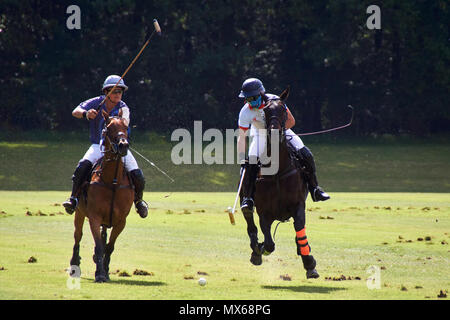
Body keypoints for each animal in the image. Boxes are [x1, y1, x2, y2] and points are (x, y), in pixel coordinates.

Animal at [69, 110, 134, 282]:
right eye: (109, 127)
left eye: (126, 126)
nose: (123, 145)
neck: (113, 181)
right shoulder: (94, 217)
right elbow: (99, 246)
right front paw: (100, 274)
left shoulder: (121, 221)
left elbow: (109, 247)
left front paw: (105, 270)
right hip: (79, 212)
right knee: (77, 236)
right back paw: (74, 264)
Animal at [243, 87, 320, 278]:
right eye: (265, 112)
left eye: (284, 110)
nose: (274, 133)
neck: (277, 171)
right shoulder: (264, 212)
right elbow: (269, 243)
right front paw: (260, 248)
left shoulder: (298, 205)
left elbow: (300, 228)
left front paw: (309, 263)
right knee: (249, 221)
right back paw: (256, 250)